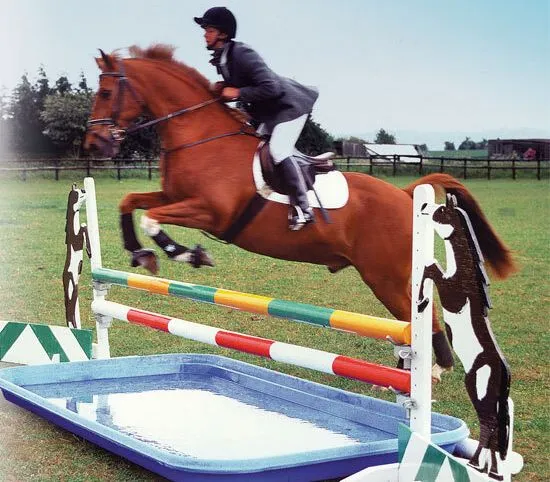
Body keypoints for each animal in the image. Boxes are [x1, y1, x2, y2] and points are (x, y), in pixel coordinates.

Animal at [82, 44, 516, 376]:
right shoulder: (173, 196)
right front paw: (141, 253)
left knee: (422, 316)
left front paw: (188, 254)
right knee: (410, 319)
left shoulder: (211, 213)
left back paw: (431, 370)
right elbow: (131, 202)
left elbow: (152, 219)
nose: (94, 145)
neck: (200, 137)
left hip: (386, 276)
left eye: (104, 93)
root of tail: (406, 195)